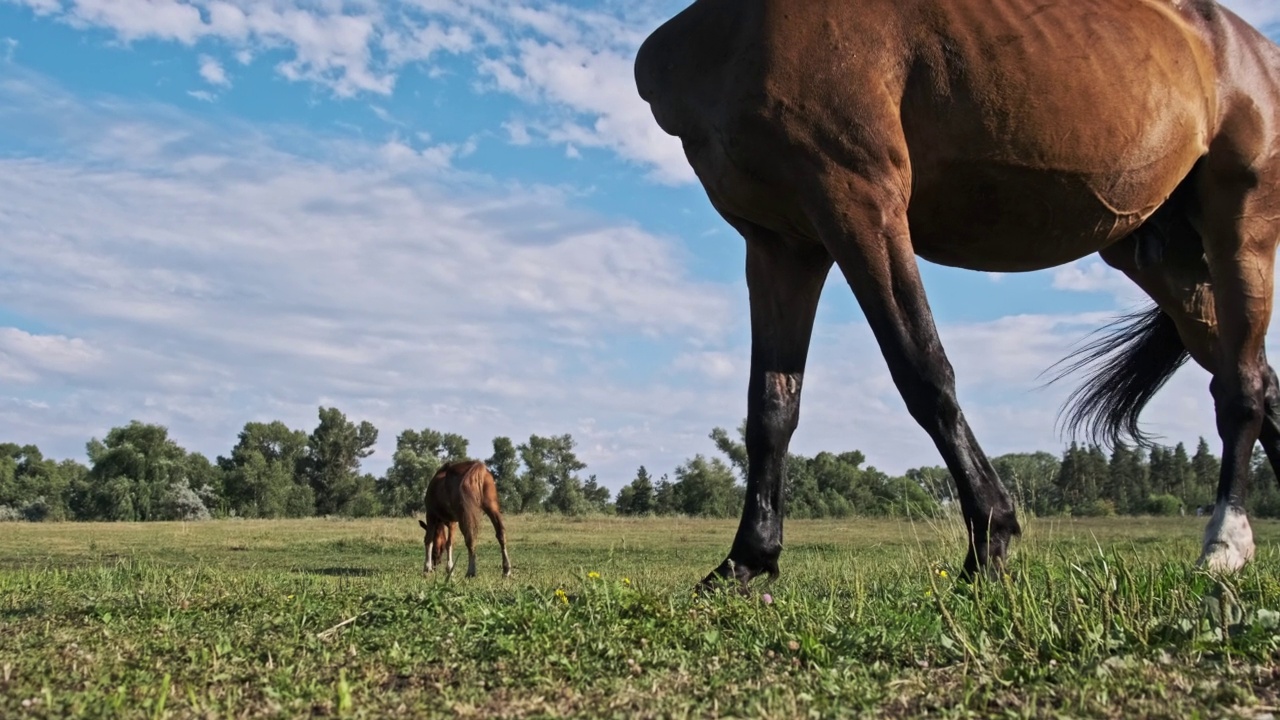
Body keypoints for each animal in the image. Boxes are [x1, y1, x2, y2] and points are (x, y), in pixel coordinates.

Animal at [637, 0, 1280, 589]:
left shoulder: (858, 200)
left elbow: (922, 372)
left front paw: (990, 541)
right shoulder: (782, 245)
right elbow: (772, 406)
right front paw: (745, 562)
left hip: (1241, 228)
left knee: (1243, 388)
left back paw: (1223, 543)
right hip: (1168, 265)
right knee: (1258, 382)